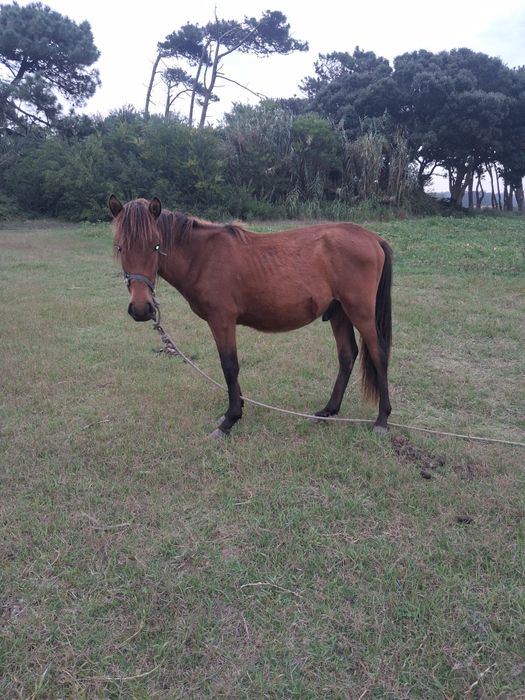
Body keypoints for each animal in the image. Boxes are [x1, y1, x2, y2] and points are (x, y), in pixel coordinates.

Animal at [109, 195, 393, 438]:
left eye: (155, 246)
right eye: (120, 247)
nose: (141, 309)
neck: (203, 256)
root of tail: (373, 238)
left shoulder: (222, 321)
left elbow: (229, 365)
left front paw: (229, 420)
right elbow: (230, 368)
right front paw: (237, 409)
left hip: (360, 312)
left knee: (378, 354)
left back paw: (382, 420)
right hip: (338, 313)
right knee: (347, 355)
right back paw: (328, 411)